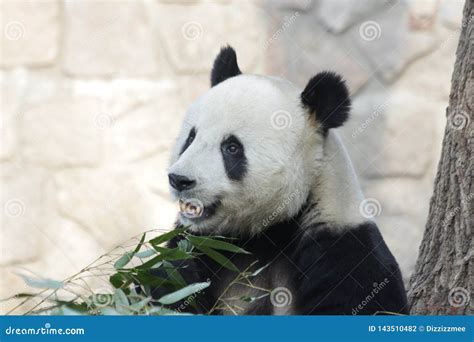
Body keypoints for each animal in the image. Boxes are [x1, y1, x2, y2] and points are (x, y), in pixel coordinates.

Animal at [156, 45, 408, 316]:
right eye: (191, 138)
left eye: (232, 148)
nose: (180, 180)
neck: (266, 232)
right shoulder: (202, 242)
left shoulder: (344, 244)